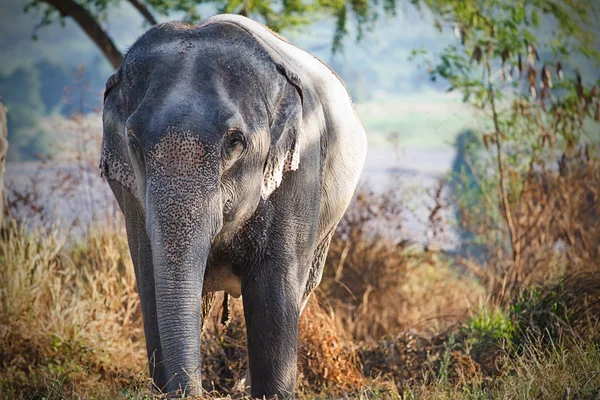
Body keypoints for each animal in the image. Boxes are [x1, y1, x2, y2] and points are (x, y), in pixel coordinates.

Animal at [99, 14, 366, 398]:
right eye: (132, 142)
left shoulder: (301, 173)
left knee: (301, 290)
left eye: (235, 141)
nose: (193, 391)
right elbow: (150, 281)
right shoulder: (130, 195)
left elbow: (275, 289)